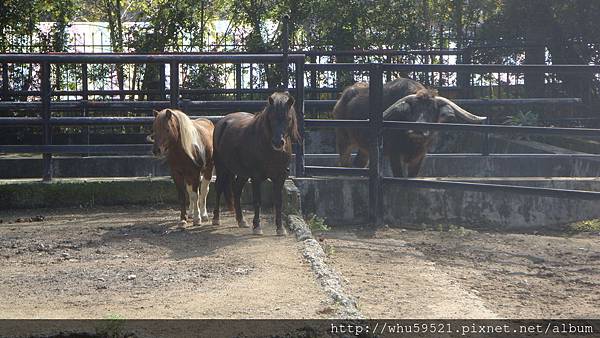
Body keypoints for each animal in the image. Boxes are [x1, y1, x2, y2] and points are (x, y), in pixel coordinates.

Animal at [213, 92, 302, 235]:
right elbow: (257, 201)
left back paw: (241, 220)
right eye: (271, 117)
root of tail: (223, 121)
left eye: (288, 118)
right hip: (222, 168)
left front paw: (280, 228)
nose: (278, 142)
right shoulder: (256, 176)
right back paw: (216, 219)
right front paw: (257, 227)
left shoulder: (280, 176)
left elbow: (278, 201)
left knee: (236, 190)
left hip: (242, 173)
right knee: (219, 187)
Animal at [336, 76, 486, 177]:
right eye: (412, 110)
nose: (418, 129)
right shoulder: (395, 153)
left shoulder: (420, 156)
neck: (413, 143)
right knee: (344, 161)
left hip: (365, 147)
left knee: (359, 162)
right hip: (343, 138)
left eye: (433, 110)